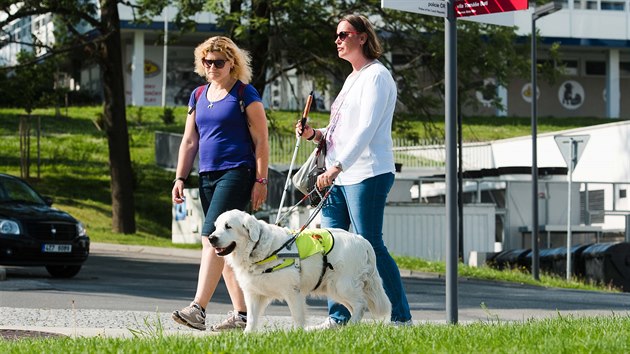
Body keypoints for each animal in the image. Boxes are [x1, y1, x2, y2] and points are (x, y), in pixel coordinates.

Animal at [210, 209, 392, 330]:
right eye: (216, 226)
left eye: (228, 226)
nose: (211, 238)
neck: (260, 249)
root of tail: (362, 240)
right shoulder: (253, 293)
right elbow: (252, 319)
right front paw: (248, 336)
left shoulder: (292, 291)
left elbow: (297, 317)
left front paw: (297, 335)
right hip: (335, 289)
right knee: (355, 306)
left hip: (343, 285)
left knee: (361, 304)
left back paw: (351, 327)